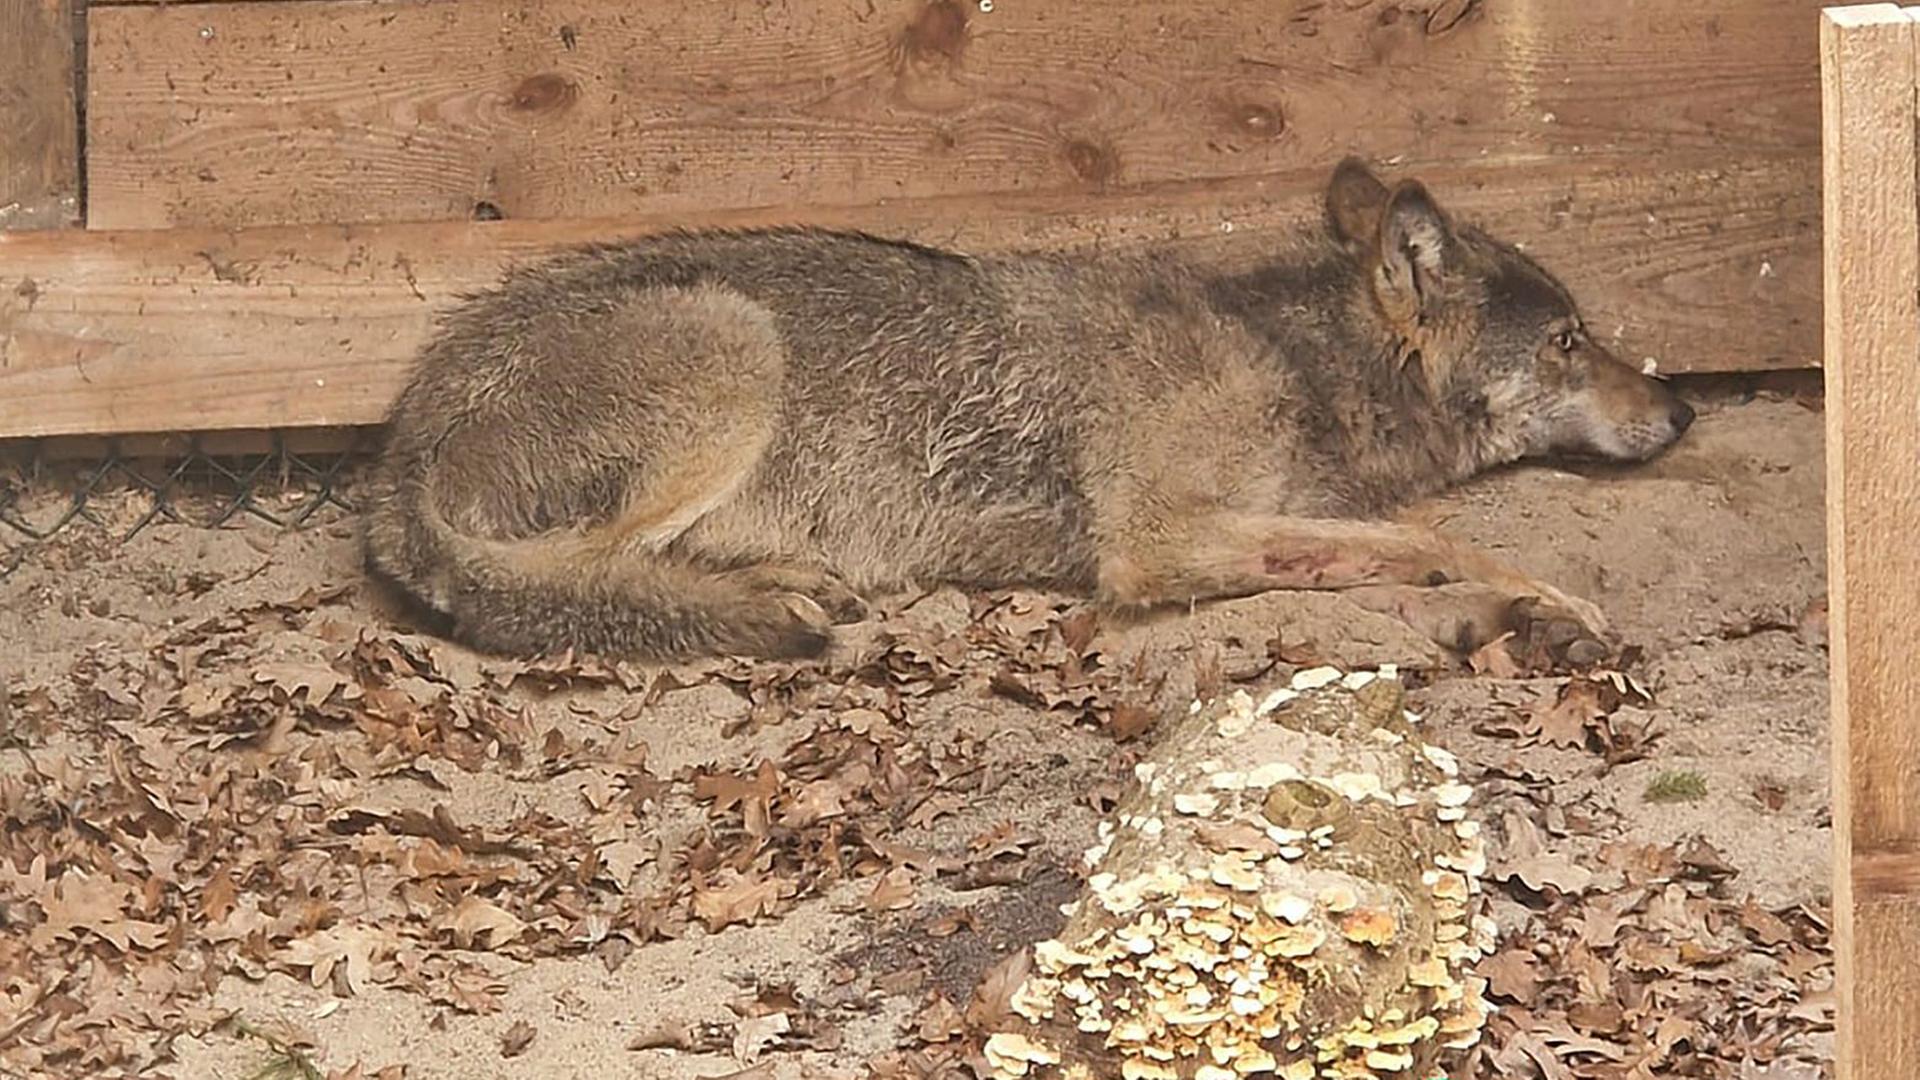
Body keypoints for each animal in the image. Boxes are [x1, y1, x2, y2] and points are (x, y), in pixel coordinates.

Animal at [362, 158, 1695, 663]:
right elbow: (1435, 539)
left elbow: (1392, 545)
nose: (1682, 409)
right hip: (735, 347)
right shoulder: (1154, 543)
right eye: (1572, 341)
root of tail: (399, 446)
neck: (1289, 358)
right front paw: (1549, 603)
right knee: (567, 580)